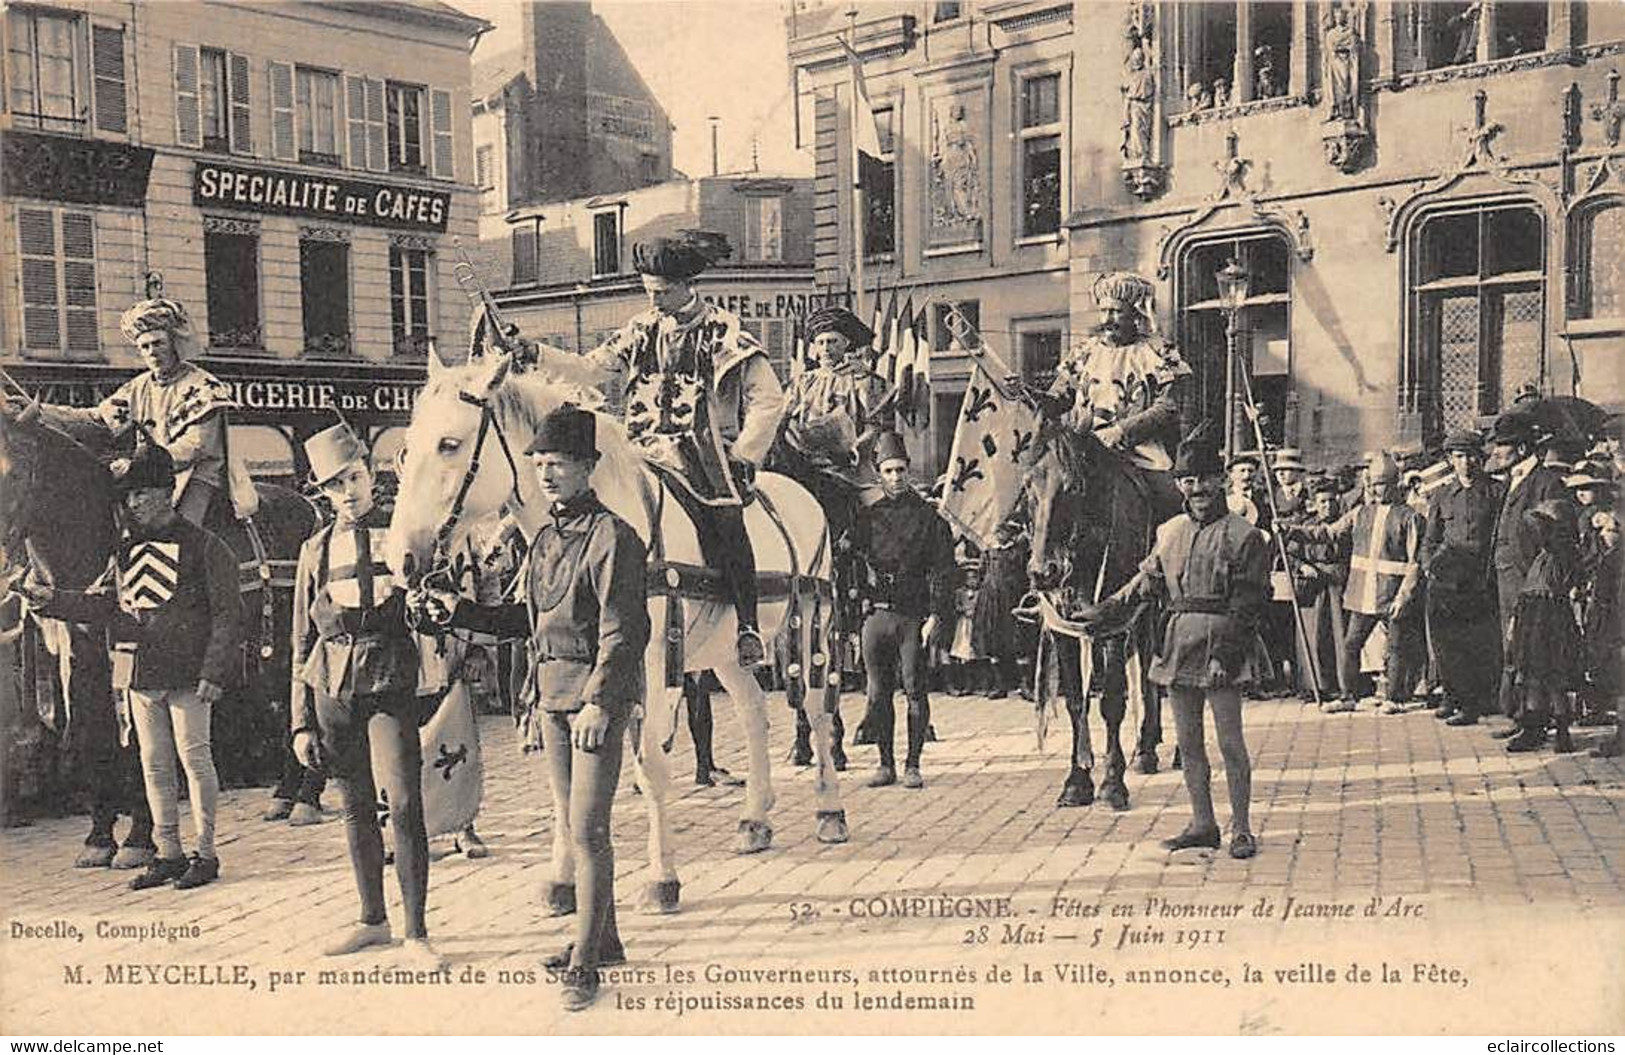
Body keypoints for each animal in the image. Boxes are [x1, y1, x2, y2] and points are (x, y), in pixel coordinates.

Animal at [0, 401, 313, 858]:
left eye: (17, 472)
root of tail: (311, 506)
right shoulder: (77, 653)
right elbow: (92, 735)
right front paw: (98, 838)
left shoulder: (128, 654)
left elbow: (137, 745)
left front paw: (137, 838)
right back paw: (285, 796)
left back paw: (305, 798)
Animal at [383, 339, 851, 910]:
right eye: (406, 449)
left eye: (450, 443)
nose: (401, 559)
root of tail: (805, 496)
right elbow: (562, 780)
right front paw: (563, 880)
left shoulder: (649, 665)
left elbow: (650, 768)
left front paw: (662, 878)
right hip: (727, 650)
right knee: (754, 712)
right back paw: (755, 820)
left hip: (811, 630)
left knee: (816, 710)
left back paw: (830, 811)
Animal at [1027, 422, 1183, 809]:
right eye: (1028, 484)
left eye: (1074, 487)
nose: (1043, 572)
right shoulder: (1065, 628)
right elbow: (1075, 703)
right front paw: (1076, 781)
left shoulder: (1113, 623)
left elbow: (1112, 700)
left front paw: (1113, 783)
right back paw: (1145, 748)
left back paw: (1155, 751)